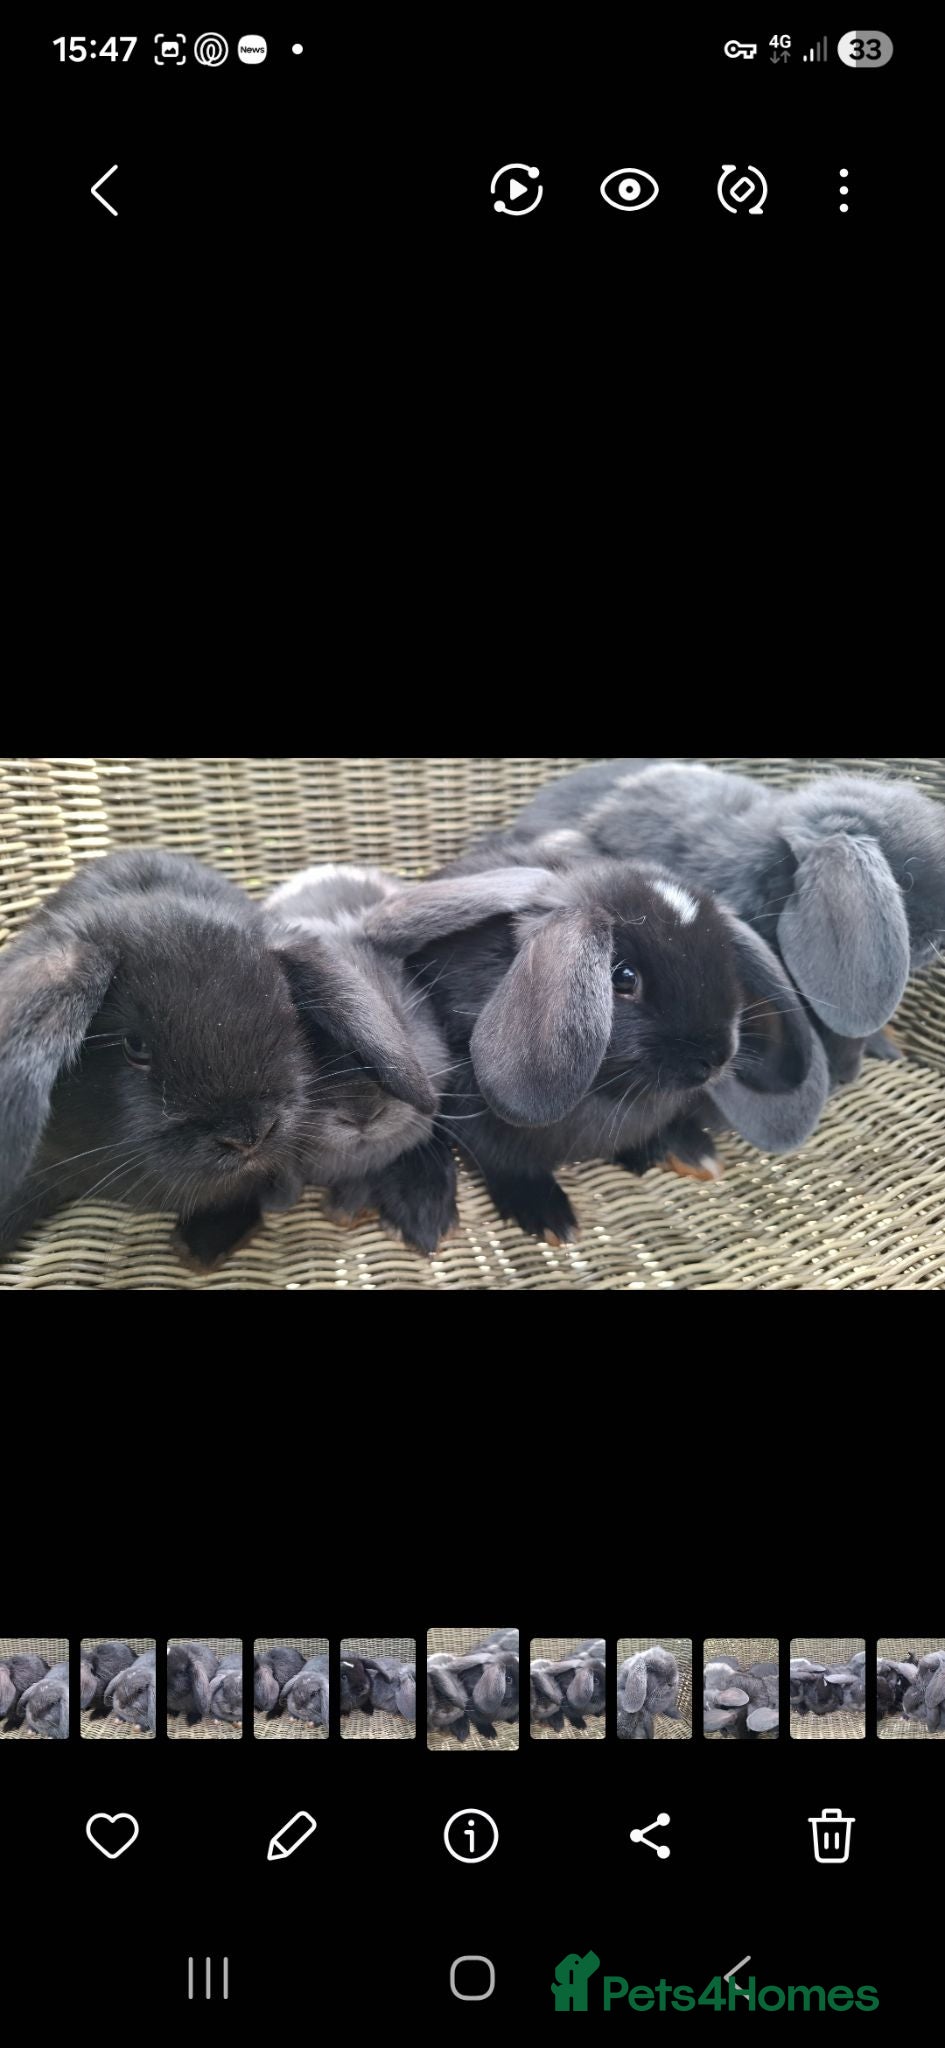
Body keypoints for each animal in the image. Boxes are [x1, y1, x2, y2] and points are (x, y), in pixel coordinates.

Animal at [402, 854, 827, 1241]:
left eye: (726, 963)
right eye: (623, 978)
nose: (716, 1057)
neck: (607, 1092)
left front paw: (693, 1154)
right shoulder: (481, 1123)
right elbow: (508, 1165)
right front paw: (550, 1217)